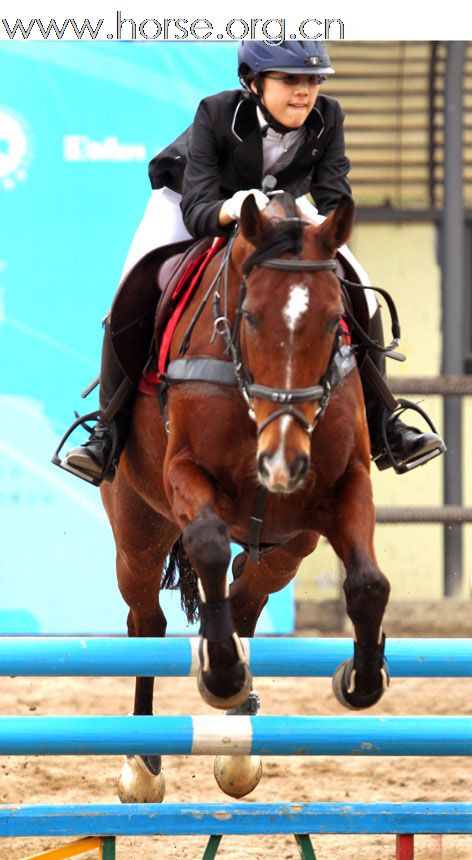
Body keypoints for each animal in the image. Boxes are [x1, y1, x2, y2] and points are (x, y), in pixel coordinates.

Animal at [100, 191, 390, 804]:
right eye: (252, 315)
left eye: (333, 319)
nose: (283, 463)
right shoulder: (184, 475)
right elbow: (209, 545)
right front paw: (222, 676)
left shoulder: (346, 486)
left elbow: (369, 582)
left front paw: (362, 678)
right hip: (138, 534)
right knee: (147, 622)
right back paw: (143, 765)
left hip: (289, 546)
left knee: (247, 598)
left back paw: (238, 747)